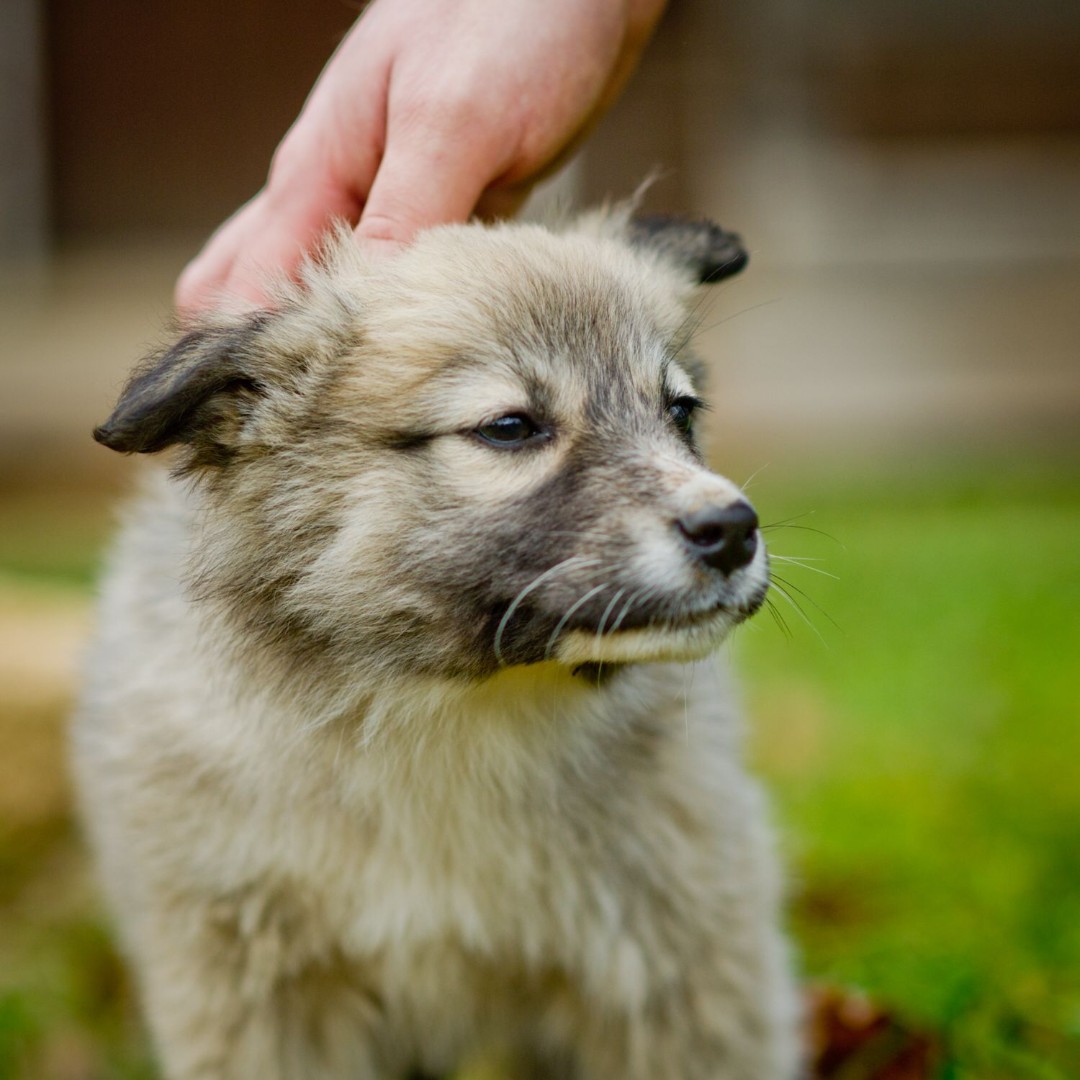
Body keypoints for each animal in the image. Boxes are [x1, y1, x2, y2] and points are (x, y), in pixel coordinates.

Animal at [73, 212, 803, 1080]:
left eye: (682, 412)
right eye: (511, 427)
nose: (732, 529)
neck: (452, 707)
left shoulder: (681, 958)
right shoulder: (255, 990)